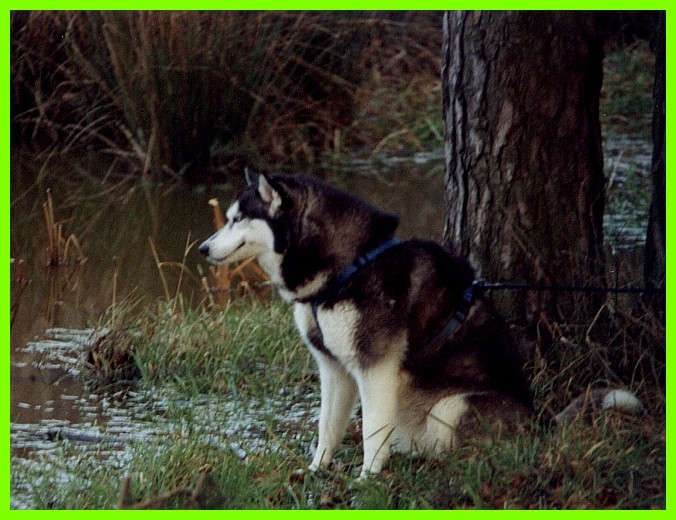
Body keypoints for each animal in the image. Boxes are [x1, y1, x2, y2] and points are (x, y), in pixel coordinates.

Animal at [198, 172, 640, 480]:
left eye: (238, 220)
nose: (202, 247)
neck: (348, 265)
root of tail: (541, 424)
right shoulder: (334, 369)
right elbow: (327, 430)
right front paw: (316, 471)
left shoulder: (376, 368)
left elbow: (372, 431)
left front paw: (366, 480)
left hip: (453, 406)